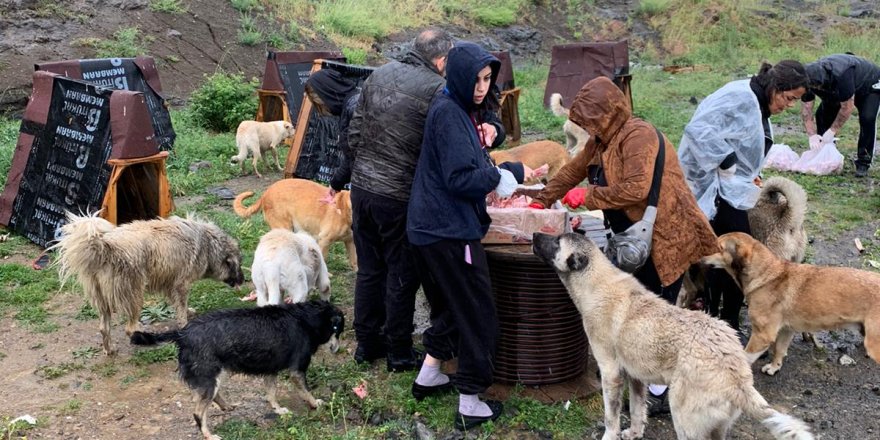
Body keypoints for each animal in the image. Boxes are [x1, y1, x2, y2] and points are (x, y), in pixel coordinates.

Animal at [53, 211, 244, 356]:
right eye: (239, 265)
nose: (244, 280)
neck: (209, 244)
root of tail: (103, 246)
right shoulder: (181, 284)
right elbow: (181, 308)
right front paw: (184, 323)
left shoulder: (171, 284)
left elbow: (179, 304)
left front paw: (189, 312)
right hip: (135, 294)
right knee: (129, 328)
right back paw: (146, 339)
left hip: (102, 300)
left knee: (103, 328)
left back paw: (110, 350)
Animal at [528, 232, 812, 438]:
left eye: (556, 242)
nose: (534, 234)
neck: (596, 282)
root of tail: (737, 375)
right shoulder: (636, 377)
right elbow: (637, 410)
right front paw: (633, 433)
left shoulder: (611, 373)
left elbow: (611, 417)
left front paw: (610, 435)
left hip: (684, 419)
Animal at [700, 232, 880, 376]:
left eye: (719, 247)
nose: (700, 258)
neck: (765, 273)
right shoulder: (786, 330)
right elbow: (779, 350)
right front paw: (774, 367)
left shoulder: (762, 335)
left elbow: (745, 357)